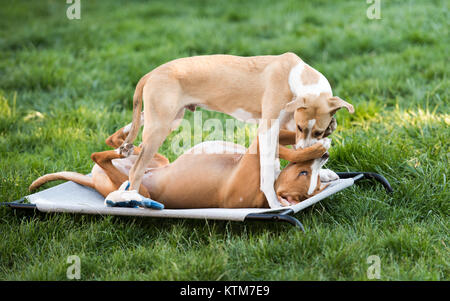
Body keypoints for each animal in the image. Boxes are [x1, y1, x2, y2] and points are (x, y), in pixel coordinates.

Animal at [29, 127, 330, 207]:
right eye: (304, 173)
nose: (323, 160)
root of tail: (94, 182)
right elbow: (283, 140)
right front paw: (317, 145)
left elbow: (277, 145)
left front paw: (318, 149)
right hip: (156, 158)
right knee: (120, 144)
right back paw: (125, 138)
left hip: (134, 187)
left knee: (98, 155)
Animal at [119, 52, 356, 206]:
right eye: (300, 126)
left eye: (319, 132)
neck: (296, 78)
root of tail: (152, 73)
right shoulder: (270, 129)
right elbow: (268, 173)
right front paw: (274, 203)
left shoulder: (286, 129)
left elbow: (293, 154)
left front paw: (322, 171)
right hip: (160, 126)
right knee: (136, 170)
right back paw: (135, 200)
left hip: (169, 118)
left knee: (139, 119)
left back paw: (125, 140)